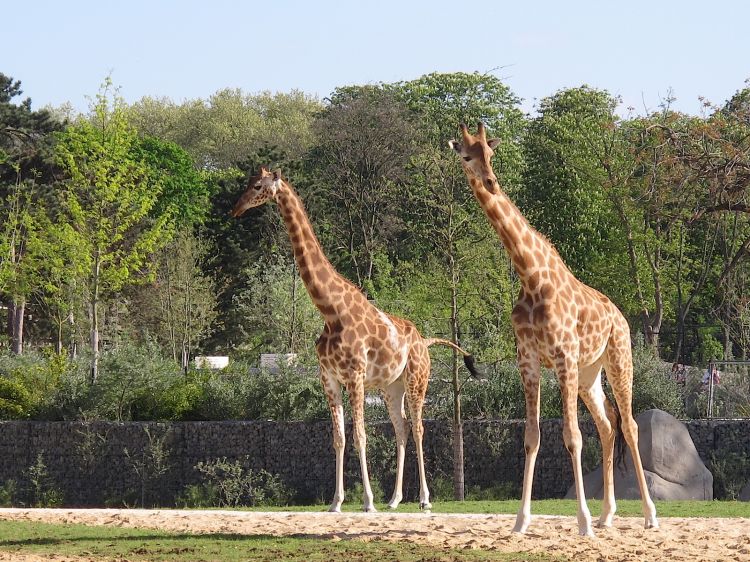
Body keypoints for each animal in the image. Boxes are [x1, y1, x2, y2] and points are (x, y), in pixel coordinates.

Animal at [231, 166, 482, 512]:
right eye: (247, 184)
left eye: (257, 186)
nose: (236, 209)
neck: (330, 310)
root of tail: (425, 341)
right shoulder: (329, 377)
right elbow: (338, 438)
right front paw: (336, 502)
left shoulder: (355, 376)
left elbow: (361, 435)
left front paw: (367, 502)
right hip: (392, 387)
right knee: (402, 427)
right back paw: (395, 499)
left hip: (417, 379)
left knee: (418, 427)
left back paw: (423, 500)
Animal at [450, 122, 660, 532]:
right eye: (466, 155)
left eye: (491, 153)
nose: (491, 181)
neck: (530, 277)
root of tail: (621, 316)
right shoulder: (529, 360)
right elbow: (532, 437)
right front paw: (520, 521)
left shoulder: (563, 355)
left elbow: (572, 436)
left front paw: (582, 522)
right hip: (588, 374)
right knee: (608, 424)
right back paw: (607, 514)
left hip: (617, 359)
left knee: (629, 424)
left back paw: (648, 515)